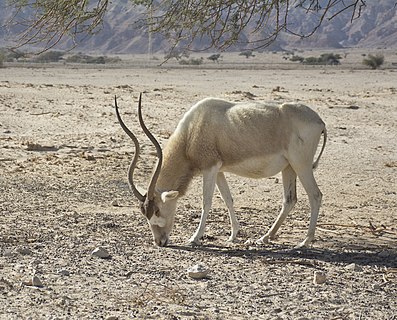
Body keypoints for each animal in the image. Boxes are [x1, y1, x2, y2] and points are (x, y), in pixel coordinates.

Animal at [113, 93, 324, 248]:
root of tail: (319, 121)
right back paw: (265, 237)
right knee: (289, 200)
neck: (192, 131)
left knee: (315, 195)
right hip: (289, 167)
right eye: (144, 212)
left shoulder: (210, 168)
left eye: (156, 210)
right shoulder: (219, 170)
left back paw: (304, 242)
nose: (160, 241)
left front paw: (194, 238)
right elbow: (228, 199)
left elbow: (206, 202)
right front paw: (233, 235)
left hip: (301, 165)